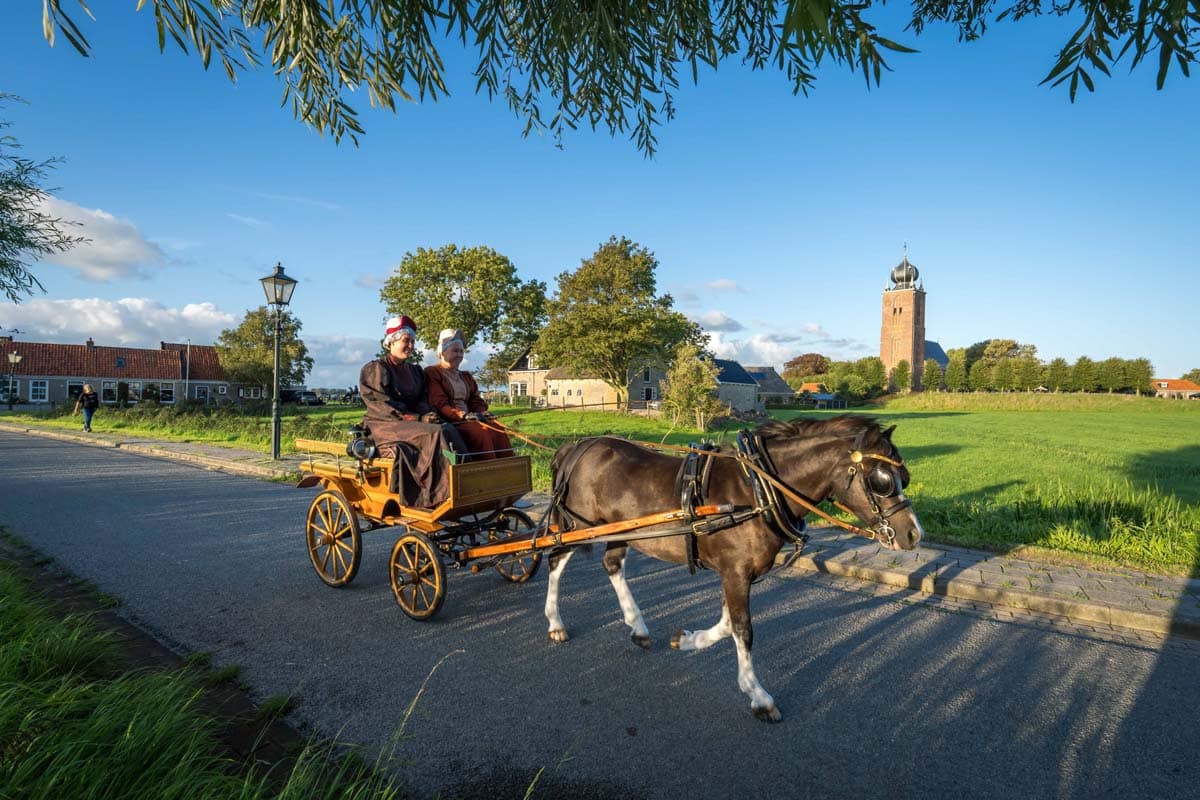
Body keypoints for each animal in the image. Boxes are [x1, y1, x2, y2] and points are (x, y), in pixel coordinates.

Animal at [547, 417, 926, 724]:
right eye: (881, 481)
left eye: (904, 476)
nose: (913, 534)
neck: (757, 493)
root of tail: (578, 447)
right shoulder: (735, 573)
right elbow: (743, 630)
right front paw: (758, 696)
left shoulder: (738, 573)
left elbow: (728, 623)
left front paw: (688, 640)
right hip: (577, 525)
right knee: (554, 559)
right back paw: (555, 623)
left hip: (619, 531)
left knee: (612, 565)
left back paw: (638, 628)